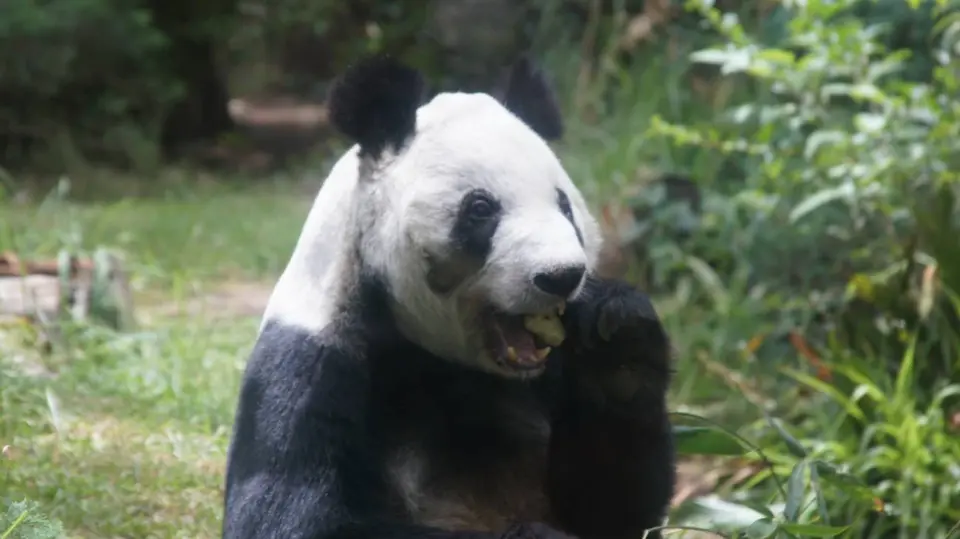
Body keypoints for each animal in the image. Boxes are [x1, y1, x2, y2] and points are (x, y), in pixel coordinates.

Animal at [221, 55, 676, 539]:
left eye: (564, 205)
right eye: (480, 209)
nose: (561, 276)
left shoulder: (550, 370)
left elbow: (612, 507)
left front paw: (618, 338)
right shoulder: (315, 358)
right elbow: (291, 516)